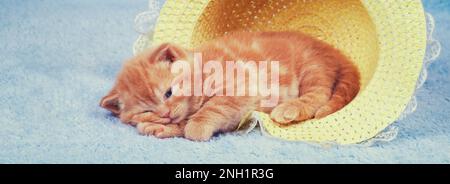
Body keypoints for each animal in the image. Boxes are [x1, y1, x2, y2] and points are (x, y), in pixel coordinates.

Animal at [99, 31, 358, 141]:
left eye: (168, 93)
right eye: (146, 110)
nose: (165, 114)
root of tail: (330, 49)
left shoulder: (242, 89)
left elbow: (213, 108)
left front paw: (194, 127)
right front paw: (162, 126)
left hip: (312, 69)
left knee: (319, 95)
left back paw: (289, 109)